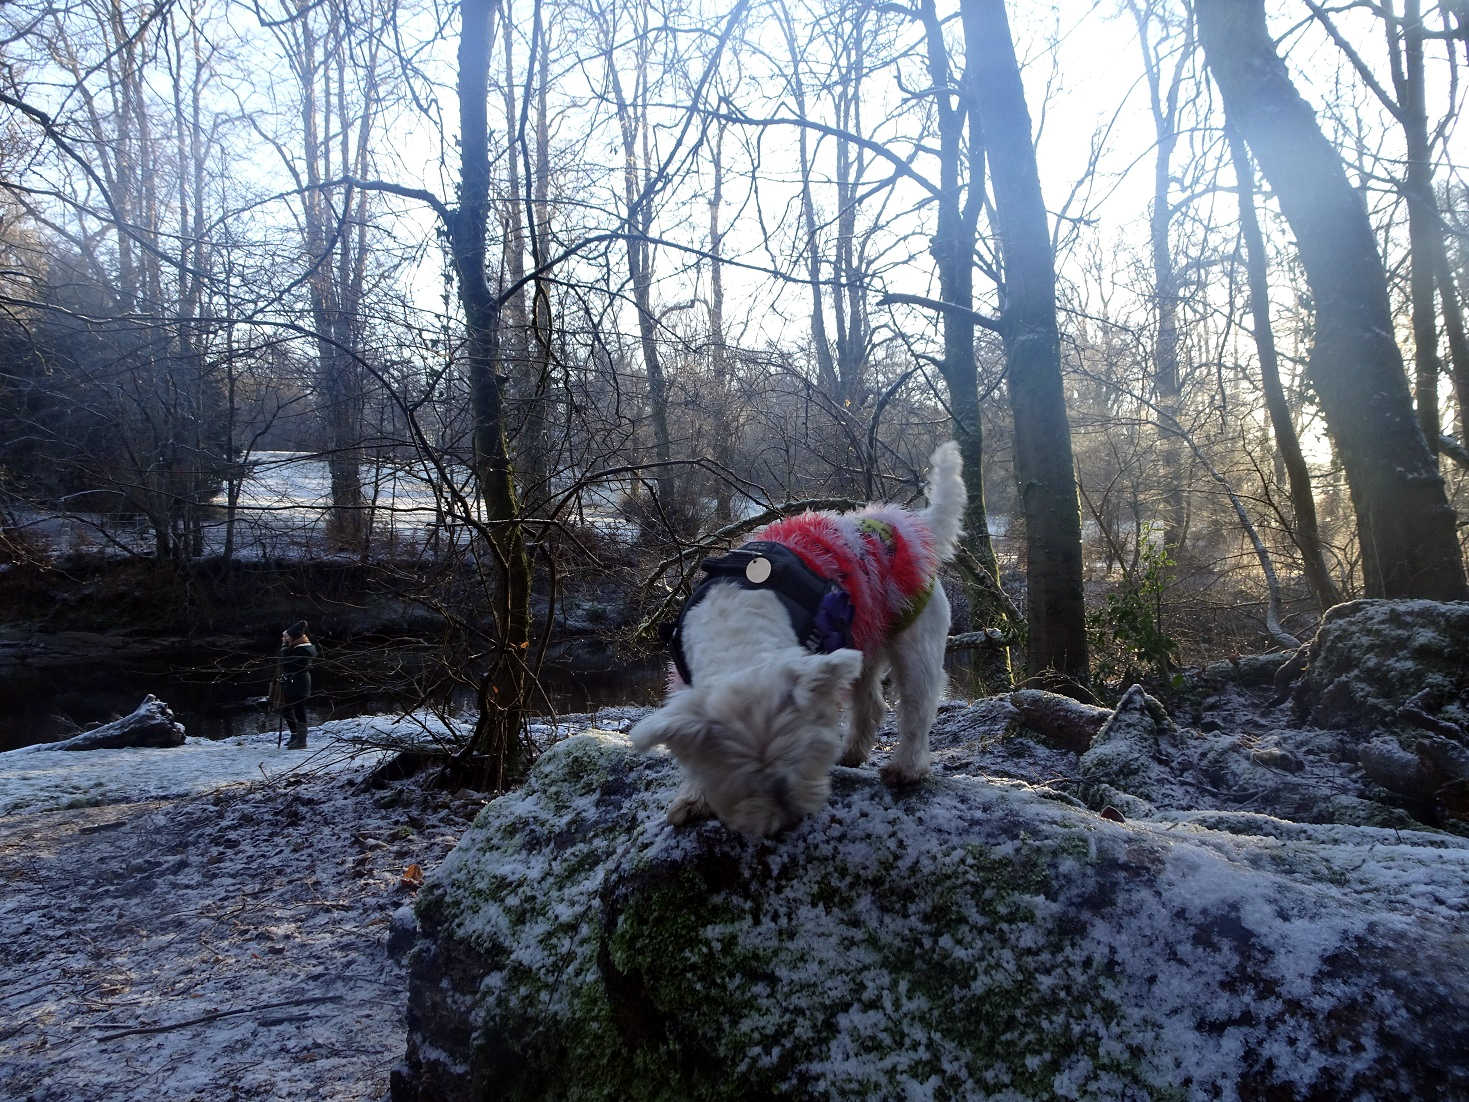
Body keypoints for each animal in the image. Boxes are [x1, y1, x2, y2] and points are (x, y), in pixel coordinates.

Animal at [628, 440, 963, 834]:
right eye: (737, 779)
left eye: (805, 755)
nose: (784, 820)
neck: (739, 630)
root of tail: (912, 526)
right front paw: (693, 797)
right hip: (865, 636)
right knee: (870, 701)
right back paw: (853, 752)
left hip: (913, 637)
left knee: (917, 702)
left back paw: (906, 768)